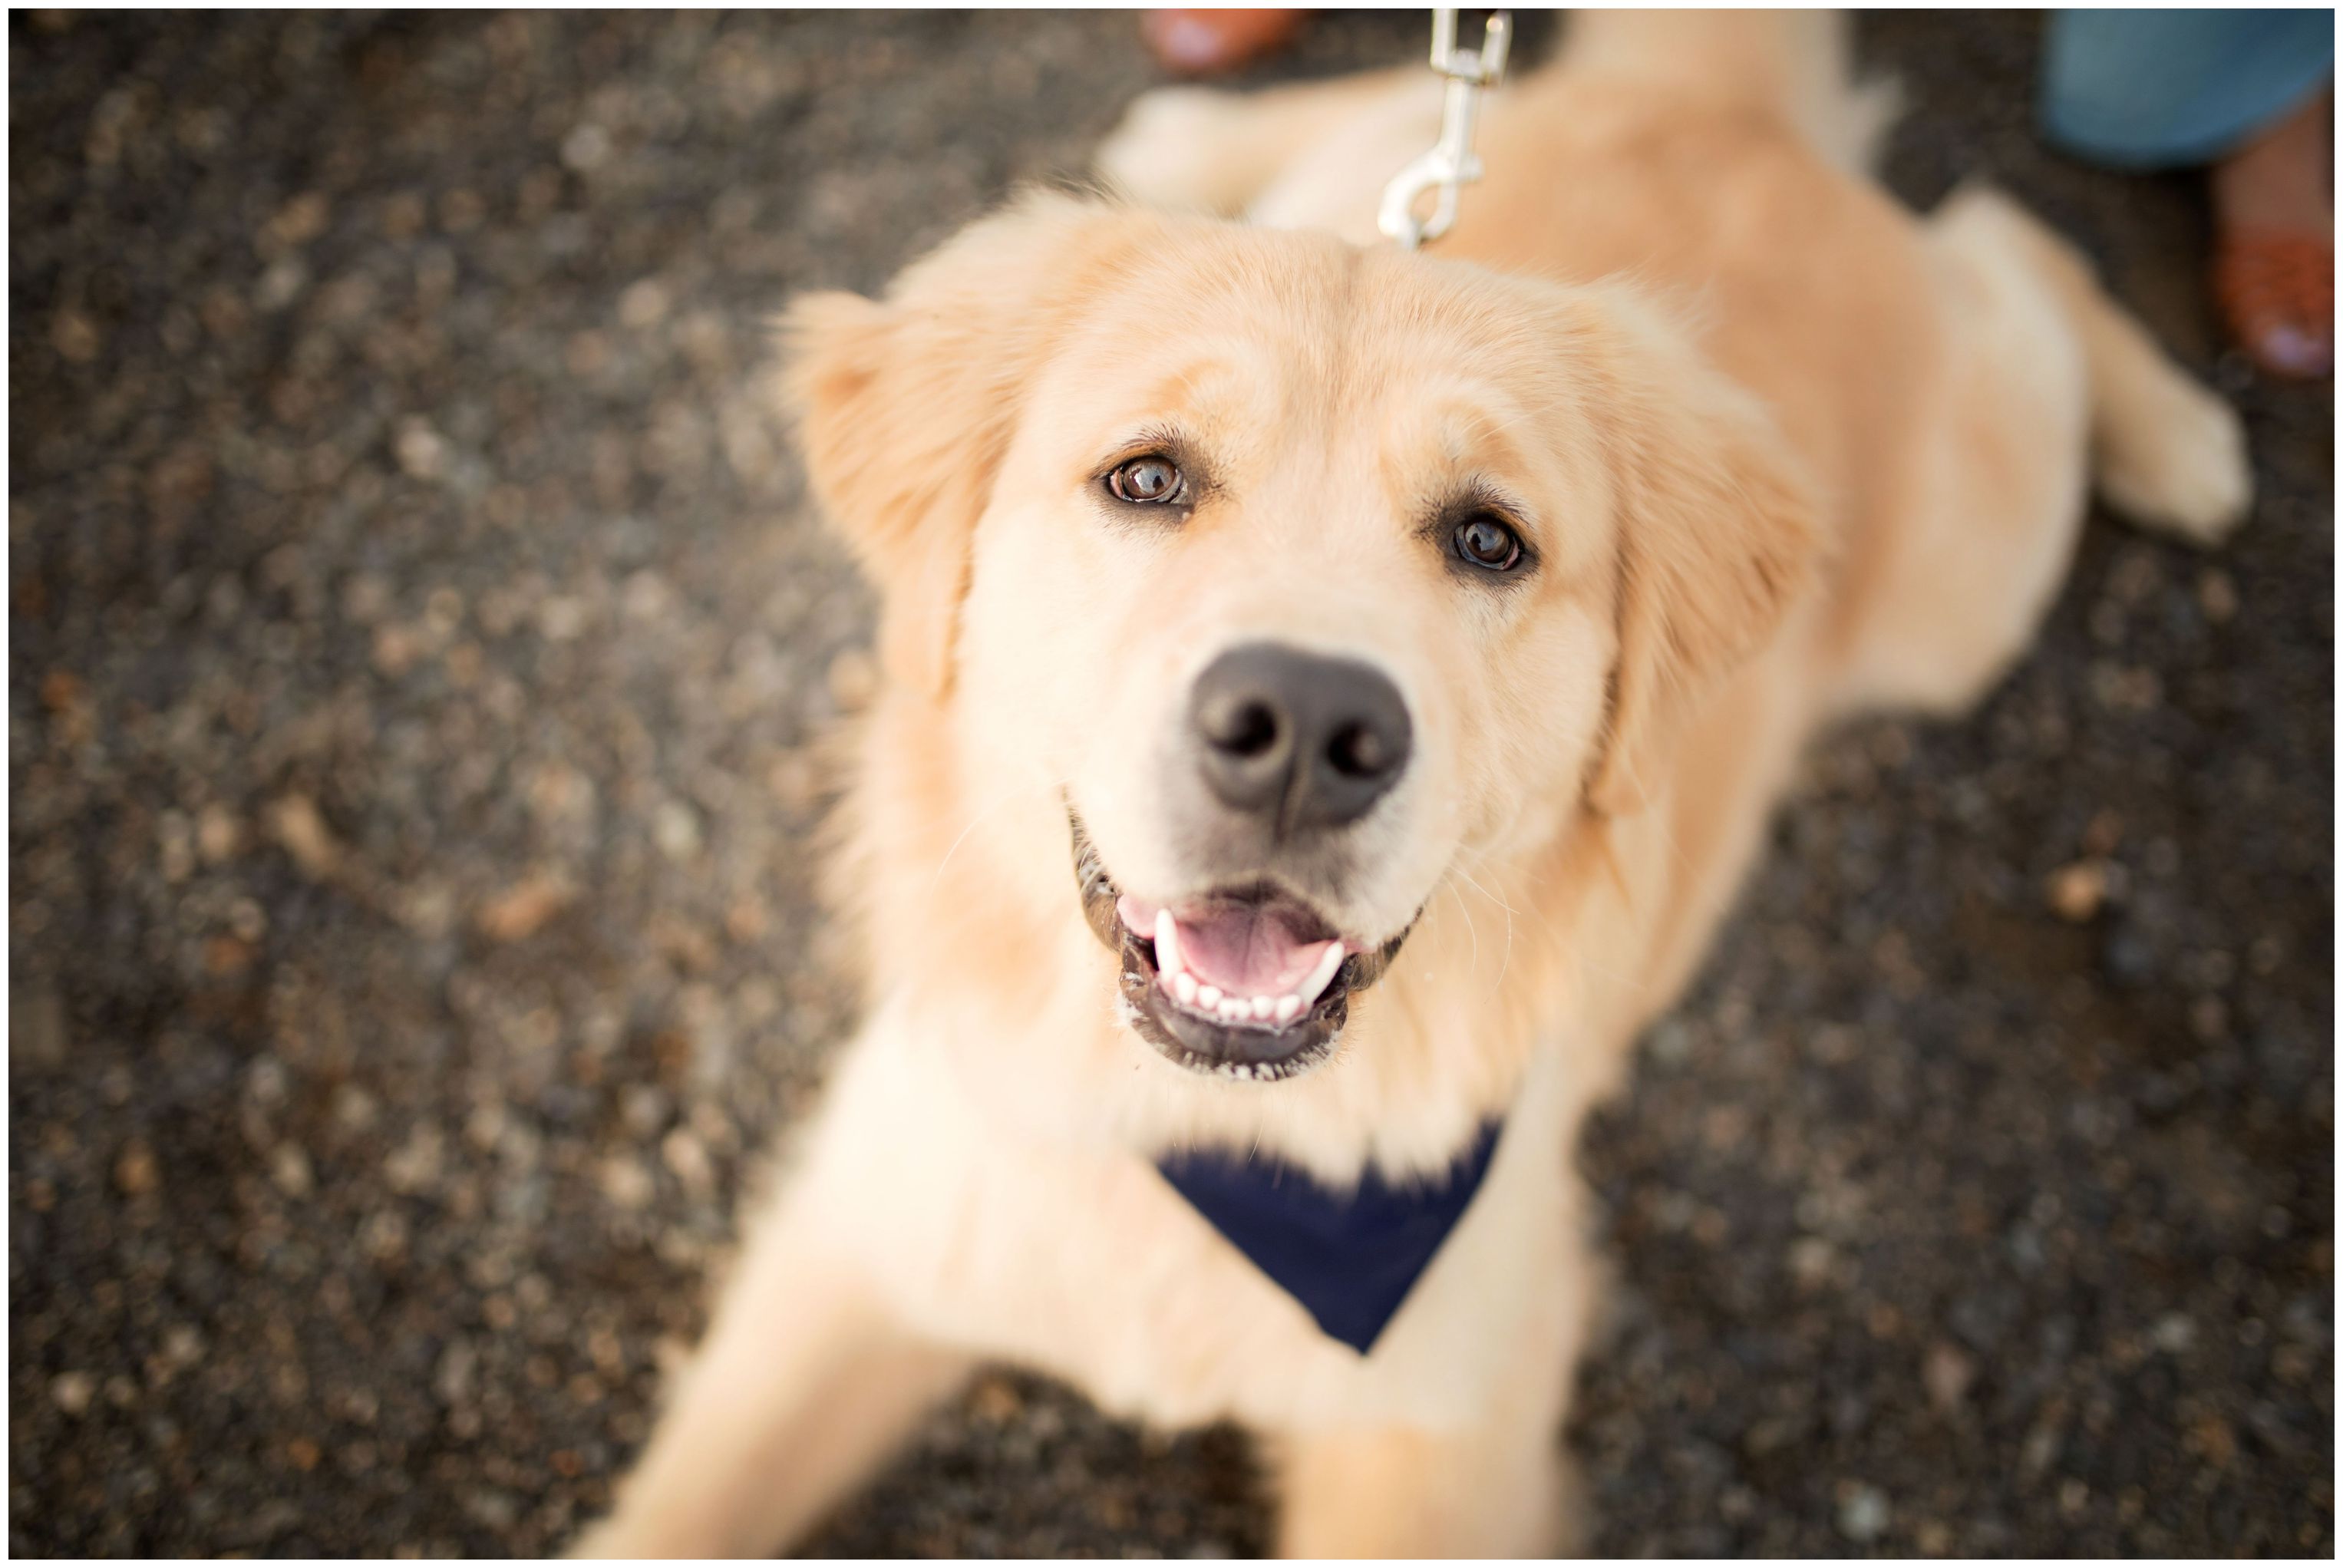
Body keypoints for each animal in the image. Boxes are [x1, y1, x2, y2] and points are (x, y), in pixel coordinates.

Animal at [571, 12, 2249, 1556]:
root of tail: (1711, 110)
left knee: (2014, 240)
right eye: (1145, 477)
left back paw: (2181, 434)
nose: (1305, 728)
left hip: (1961, 587)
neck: (1219, 1147)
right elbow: (672, 1514)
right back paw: (1193, 136)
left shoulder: (1446, 1432)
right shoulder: (852, 1249)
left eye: (1488, 539)